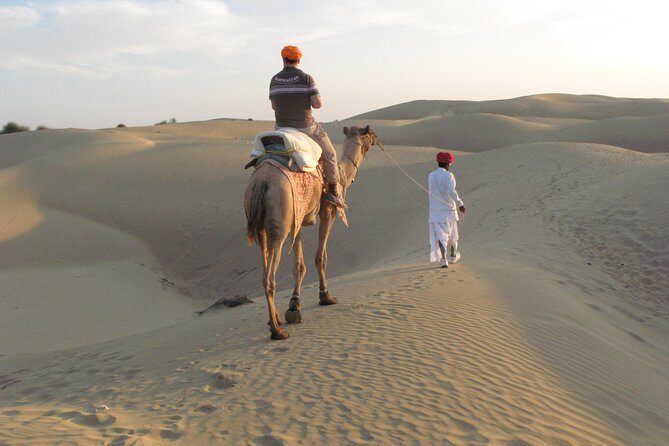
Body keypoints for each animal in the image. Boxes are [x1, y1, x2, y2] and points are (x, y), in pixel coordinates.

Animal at [244, 125, 378, 339]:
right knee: (269, 277)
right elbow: (320, 257)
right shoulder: (328, 212)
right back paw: (277, 331)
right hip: (279, 225)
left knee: (264, 266)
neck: (342, 174)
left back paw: (275, 320)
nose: (376, 138)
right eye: (369, 133)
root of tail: (261, 181)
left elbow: (298, 265)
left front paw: (294, 306)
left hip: (260, 226)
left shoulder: (297, 219)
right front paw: (326, 296)